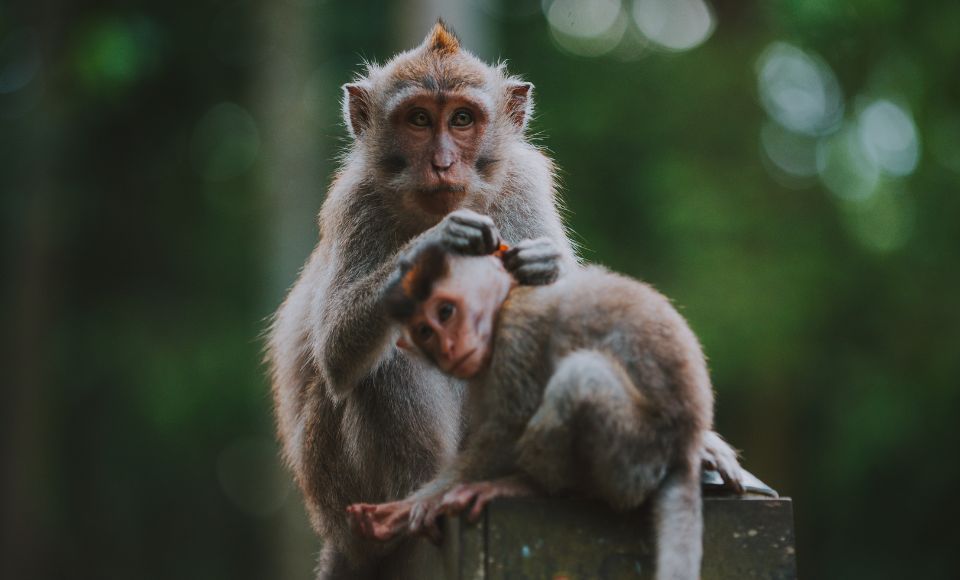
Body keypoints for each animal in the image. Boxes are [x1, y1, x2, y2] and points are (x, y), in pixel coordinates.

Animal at [348, 238, 712, 579]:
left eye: (446, 312)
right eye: (425, 332)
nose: (448, 348)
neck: (506, 302)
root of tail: (684, 448)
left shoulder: (516, 336)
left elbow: (508, 428)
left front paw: (420, 504)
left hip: (637, 458)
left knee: (579, 379)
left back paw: (531, 486)